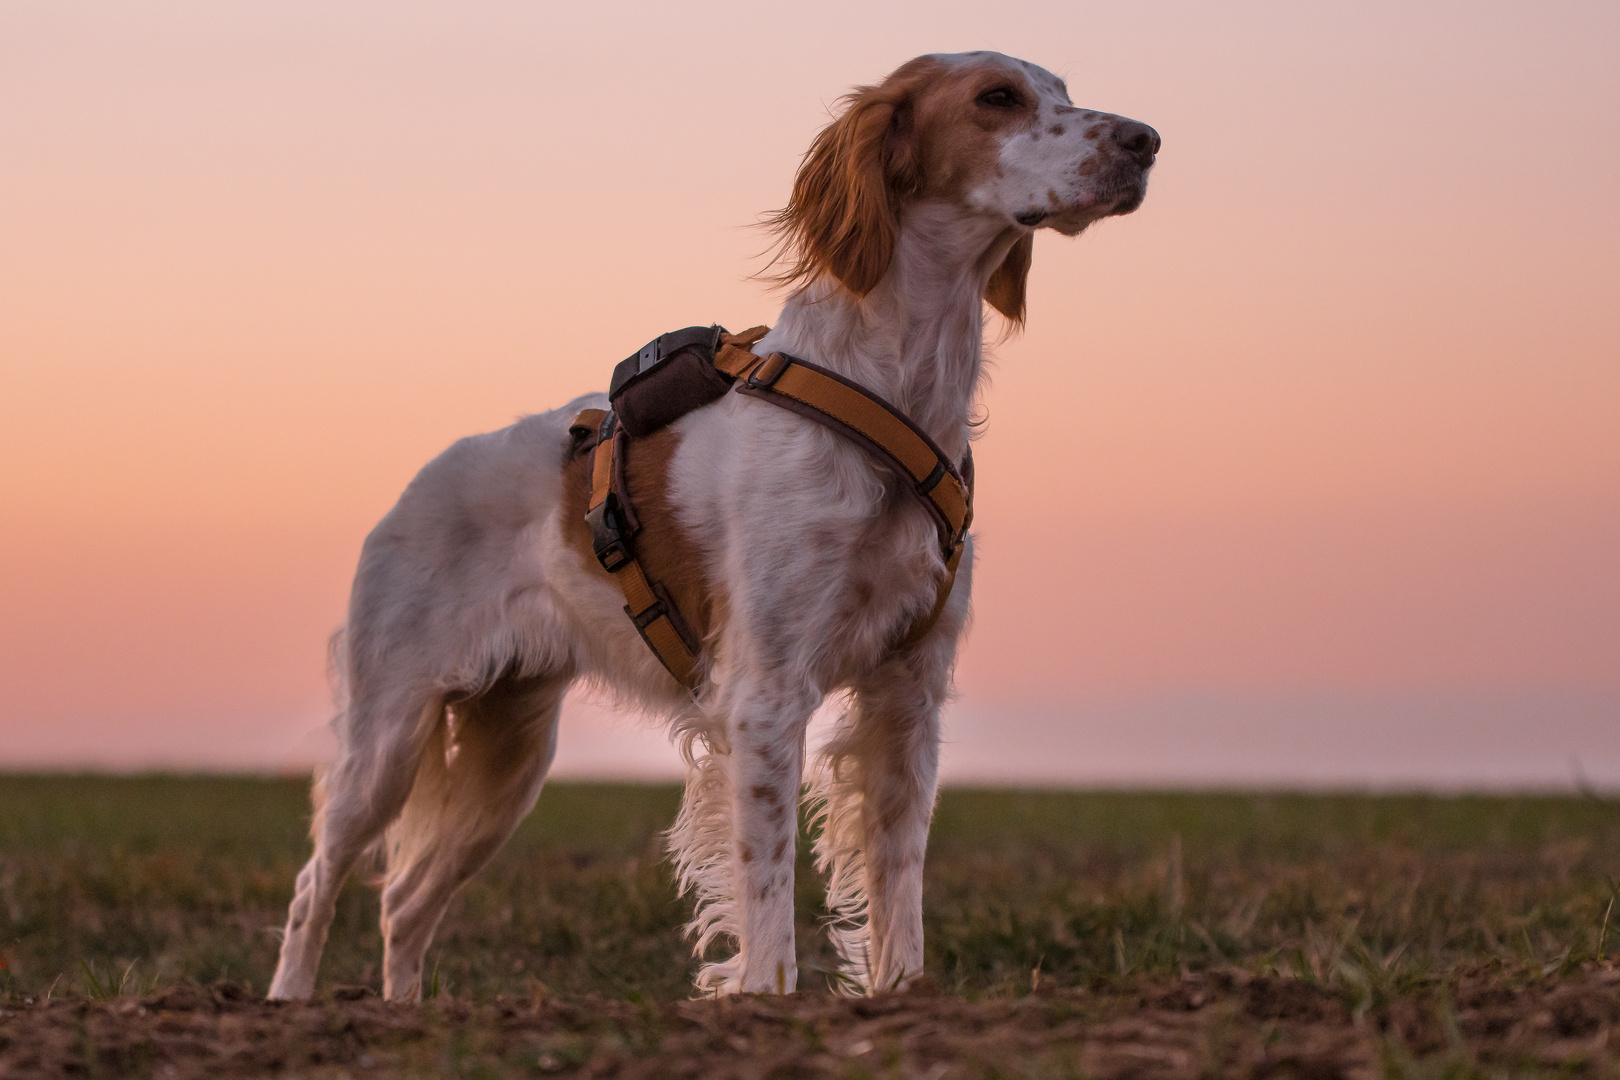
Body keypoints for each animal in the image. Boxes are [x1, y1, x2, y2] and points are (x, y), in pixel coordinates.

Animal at [268, 48, 1153, 997]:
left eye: (1062, 94)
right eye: (997, 98)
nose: (1147, 140)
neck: (894, 391)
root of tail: (412, 486)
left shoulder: (910, 695)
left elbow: (898, 891)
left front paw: (901, 996)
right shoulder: (765, 695)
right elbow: (769, 898)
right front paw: (767, 997)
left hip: (510, 755)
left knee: (404, 905)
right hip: (389, 735)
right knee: (316, 883)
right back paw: (289, 1002)